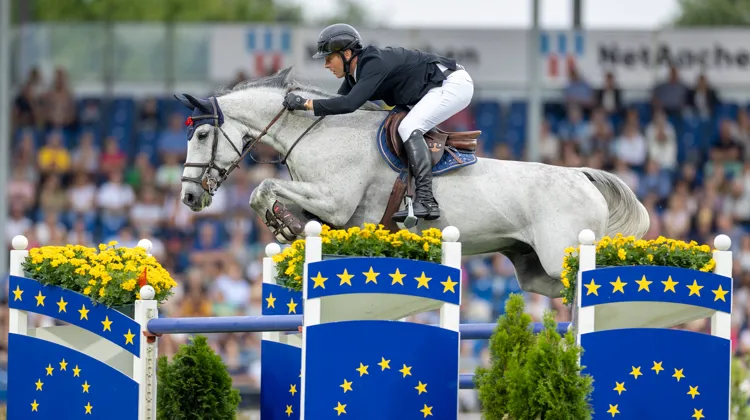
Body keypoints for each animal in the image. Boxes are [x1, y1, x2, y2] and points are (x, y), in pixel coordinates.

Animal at [176, 67, 650, 298]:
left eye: (201, 134)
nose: (189, 196)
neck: (318, 132)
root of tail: (581, 175)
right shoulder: (330, 212)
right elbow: (273, 196)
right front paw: (286, 225)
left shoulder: (335, 202)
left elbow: (262, 189)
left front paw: (283, 225)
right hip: (533, 269)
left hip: (561, 254)